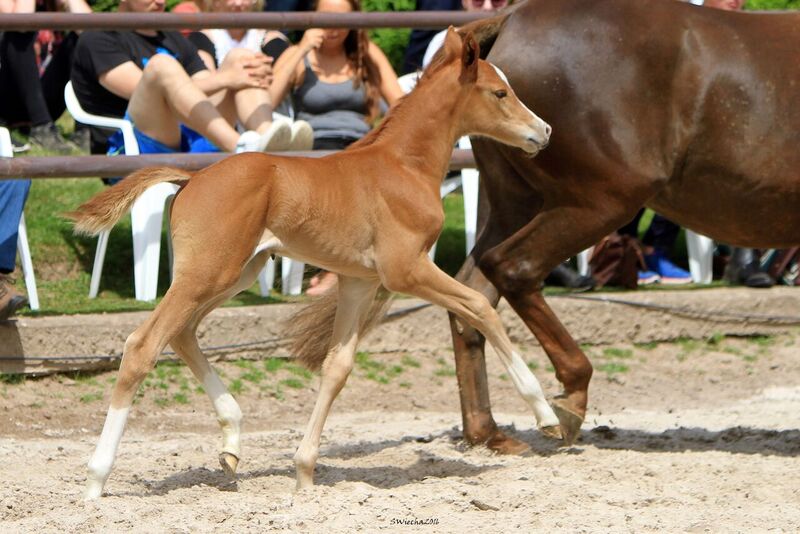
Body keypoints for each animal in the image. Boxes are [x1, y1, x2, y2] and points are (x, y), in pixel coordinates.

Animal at [69, 27, 556, 500]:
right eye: (500, 93)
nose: (545, 130)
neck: (402, 166)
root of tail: (192, 177)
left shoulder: (360, 282)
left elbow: (337, 366)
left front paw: (304, 474)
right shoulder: (406, 269)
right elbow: (480, 305)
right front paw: (546, 414)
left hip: (234, 273)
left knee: (182, 333)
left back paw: (231, 441)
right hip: (209, 273)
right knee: (143, 344)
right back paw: (95, 479)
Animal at [454, 0, 800, 454]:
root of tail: (511, 20)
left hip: (514, 204)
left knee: (471, 295)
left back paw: (485, 432)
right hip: (601, 201)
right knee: (513, 268)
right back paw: (570, 397)